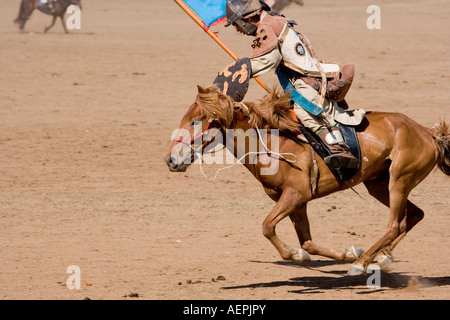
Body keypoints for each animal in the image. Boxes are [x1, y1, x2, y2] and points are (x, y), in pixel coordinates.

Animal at [165, 85, 450, 276]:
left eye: (195, 121)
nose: (170, 160)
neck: (273, 143)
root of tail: (428, 133)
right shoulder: (296, 202)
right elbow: (308, 243)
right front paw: (345, 252)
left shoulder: (296, 195)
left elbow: (267, 226)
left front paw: (295, 254)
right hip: (379, 185)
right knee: (413, 216)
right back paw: (380, 258)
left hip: (399, 181)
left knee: (394, 224)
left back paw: (361, 264)